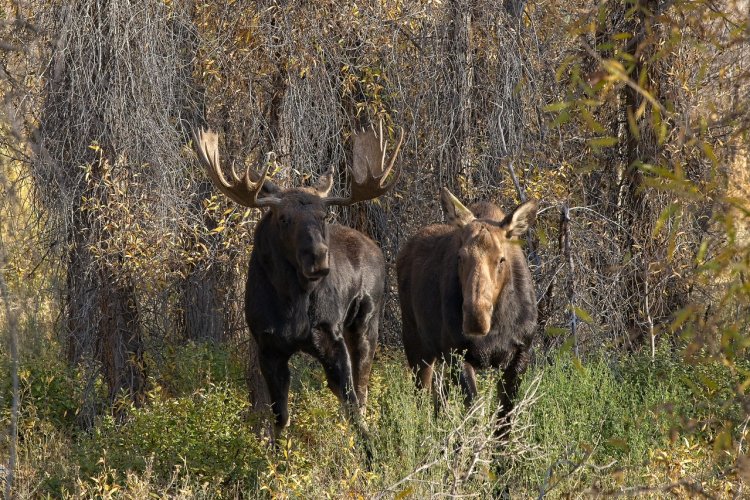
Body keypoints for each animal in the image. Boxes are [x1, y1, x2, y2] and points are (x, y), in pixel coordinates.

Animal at [197, 123, 402, 436]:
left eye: (324, 214)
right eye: (283, 218)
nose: (317, 258)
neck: (292, 303)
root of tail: (375, 246)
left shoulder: (330, 335)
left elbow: (352, 404)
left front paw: (368, 447)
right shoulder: (268, 347)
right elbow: (281, 418)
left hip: (367, 321)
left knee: (363, 388)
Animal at [396, 188, 536, 422]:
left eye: (501, 259)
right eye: (460, 256)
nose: (475, 318)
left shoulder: (520, 353)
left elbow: (504, 419)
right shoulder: (457, 353)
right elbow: (475, 413)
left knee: (439, 399)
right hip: (415, 341)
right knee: (422, 398)